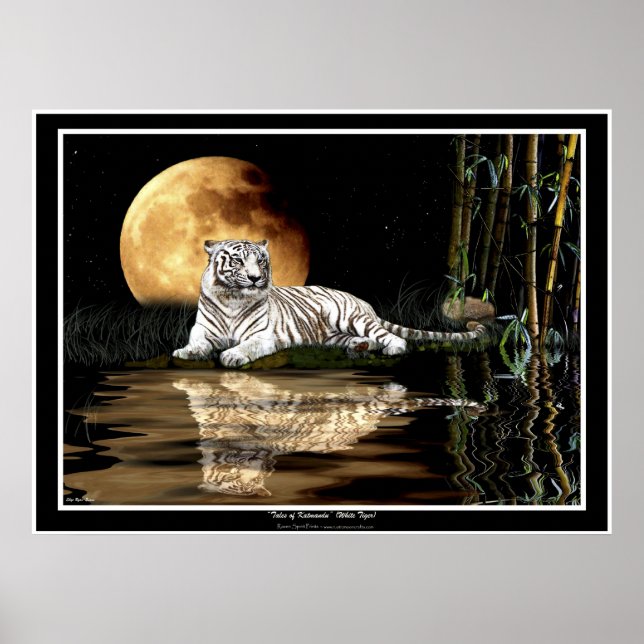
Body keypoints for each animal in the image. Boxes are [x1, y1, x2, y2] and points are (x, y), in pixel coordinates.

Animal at [173, 239, 487, 368]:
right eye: (238, 260)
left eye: (261, 260)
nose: (254, 278)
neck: (234, 299)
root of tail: (363, 302)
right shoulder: (203, 328)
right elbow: (197, 340)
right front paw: (186, 352)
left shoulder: (262, 335)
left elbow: (246, 345)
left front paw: (232, 356)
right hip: (332, 334)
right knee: (360, 339)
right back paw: (360, 346)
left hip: (348, 317)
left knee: (393, 337)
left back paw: (390, 349)